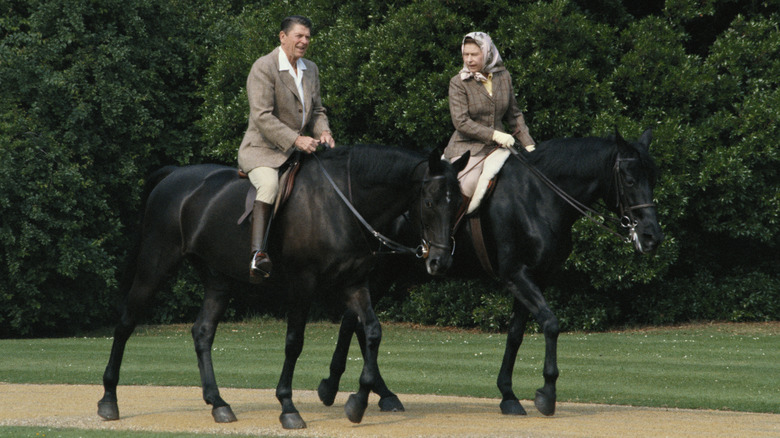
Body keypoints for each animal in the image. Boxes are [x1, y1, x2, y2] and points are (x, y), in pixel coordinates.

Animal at [95, 144, 466, 428]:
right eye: (430, 202)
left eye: (459, 202)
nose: (441, 261)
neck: (342, 203)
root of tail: (173, 175)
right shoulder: (303, 284)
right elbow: (294, 342)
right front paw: (288, 406)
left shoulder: (354, 284)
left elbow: (372, 331)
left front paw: (357, 402)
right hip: (154, 267)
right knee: (125, 323)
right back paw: (109, 399)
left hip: (218, 280)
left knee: (202, 332)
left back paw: (218, 403)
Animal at [316, 128, 664, 416]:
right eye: (629, 179)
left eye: (653, 177)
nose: (651, 236)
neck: (538, 196)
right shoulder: (516, 274)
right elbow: (551, 324)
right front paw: (547, 393)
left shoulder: (535, 277)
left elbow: (516, 334)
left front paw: (508, 395)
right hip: (381, 271)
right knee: (353, 321)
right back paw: (338, 386)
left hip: (391, 272)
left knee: (356, 322)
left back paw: (378, 392)